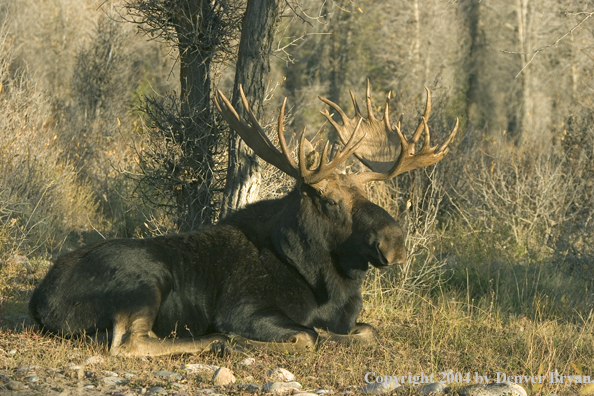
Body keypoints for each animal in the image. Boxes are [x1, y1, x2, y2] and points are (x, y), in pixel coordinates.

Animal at [28, 81, 458, 356]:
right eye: (329, 200)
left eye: (366, 194)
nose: (395, 241)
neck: (324, 281)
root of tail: (41, 300)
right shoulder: (245, 308)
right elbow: (309, 335)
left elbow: (367, 331)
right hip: (146, 282)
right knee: (127, 344)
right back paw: (220, 341)